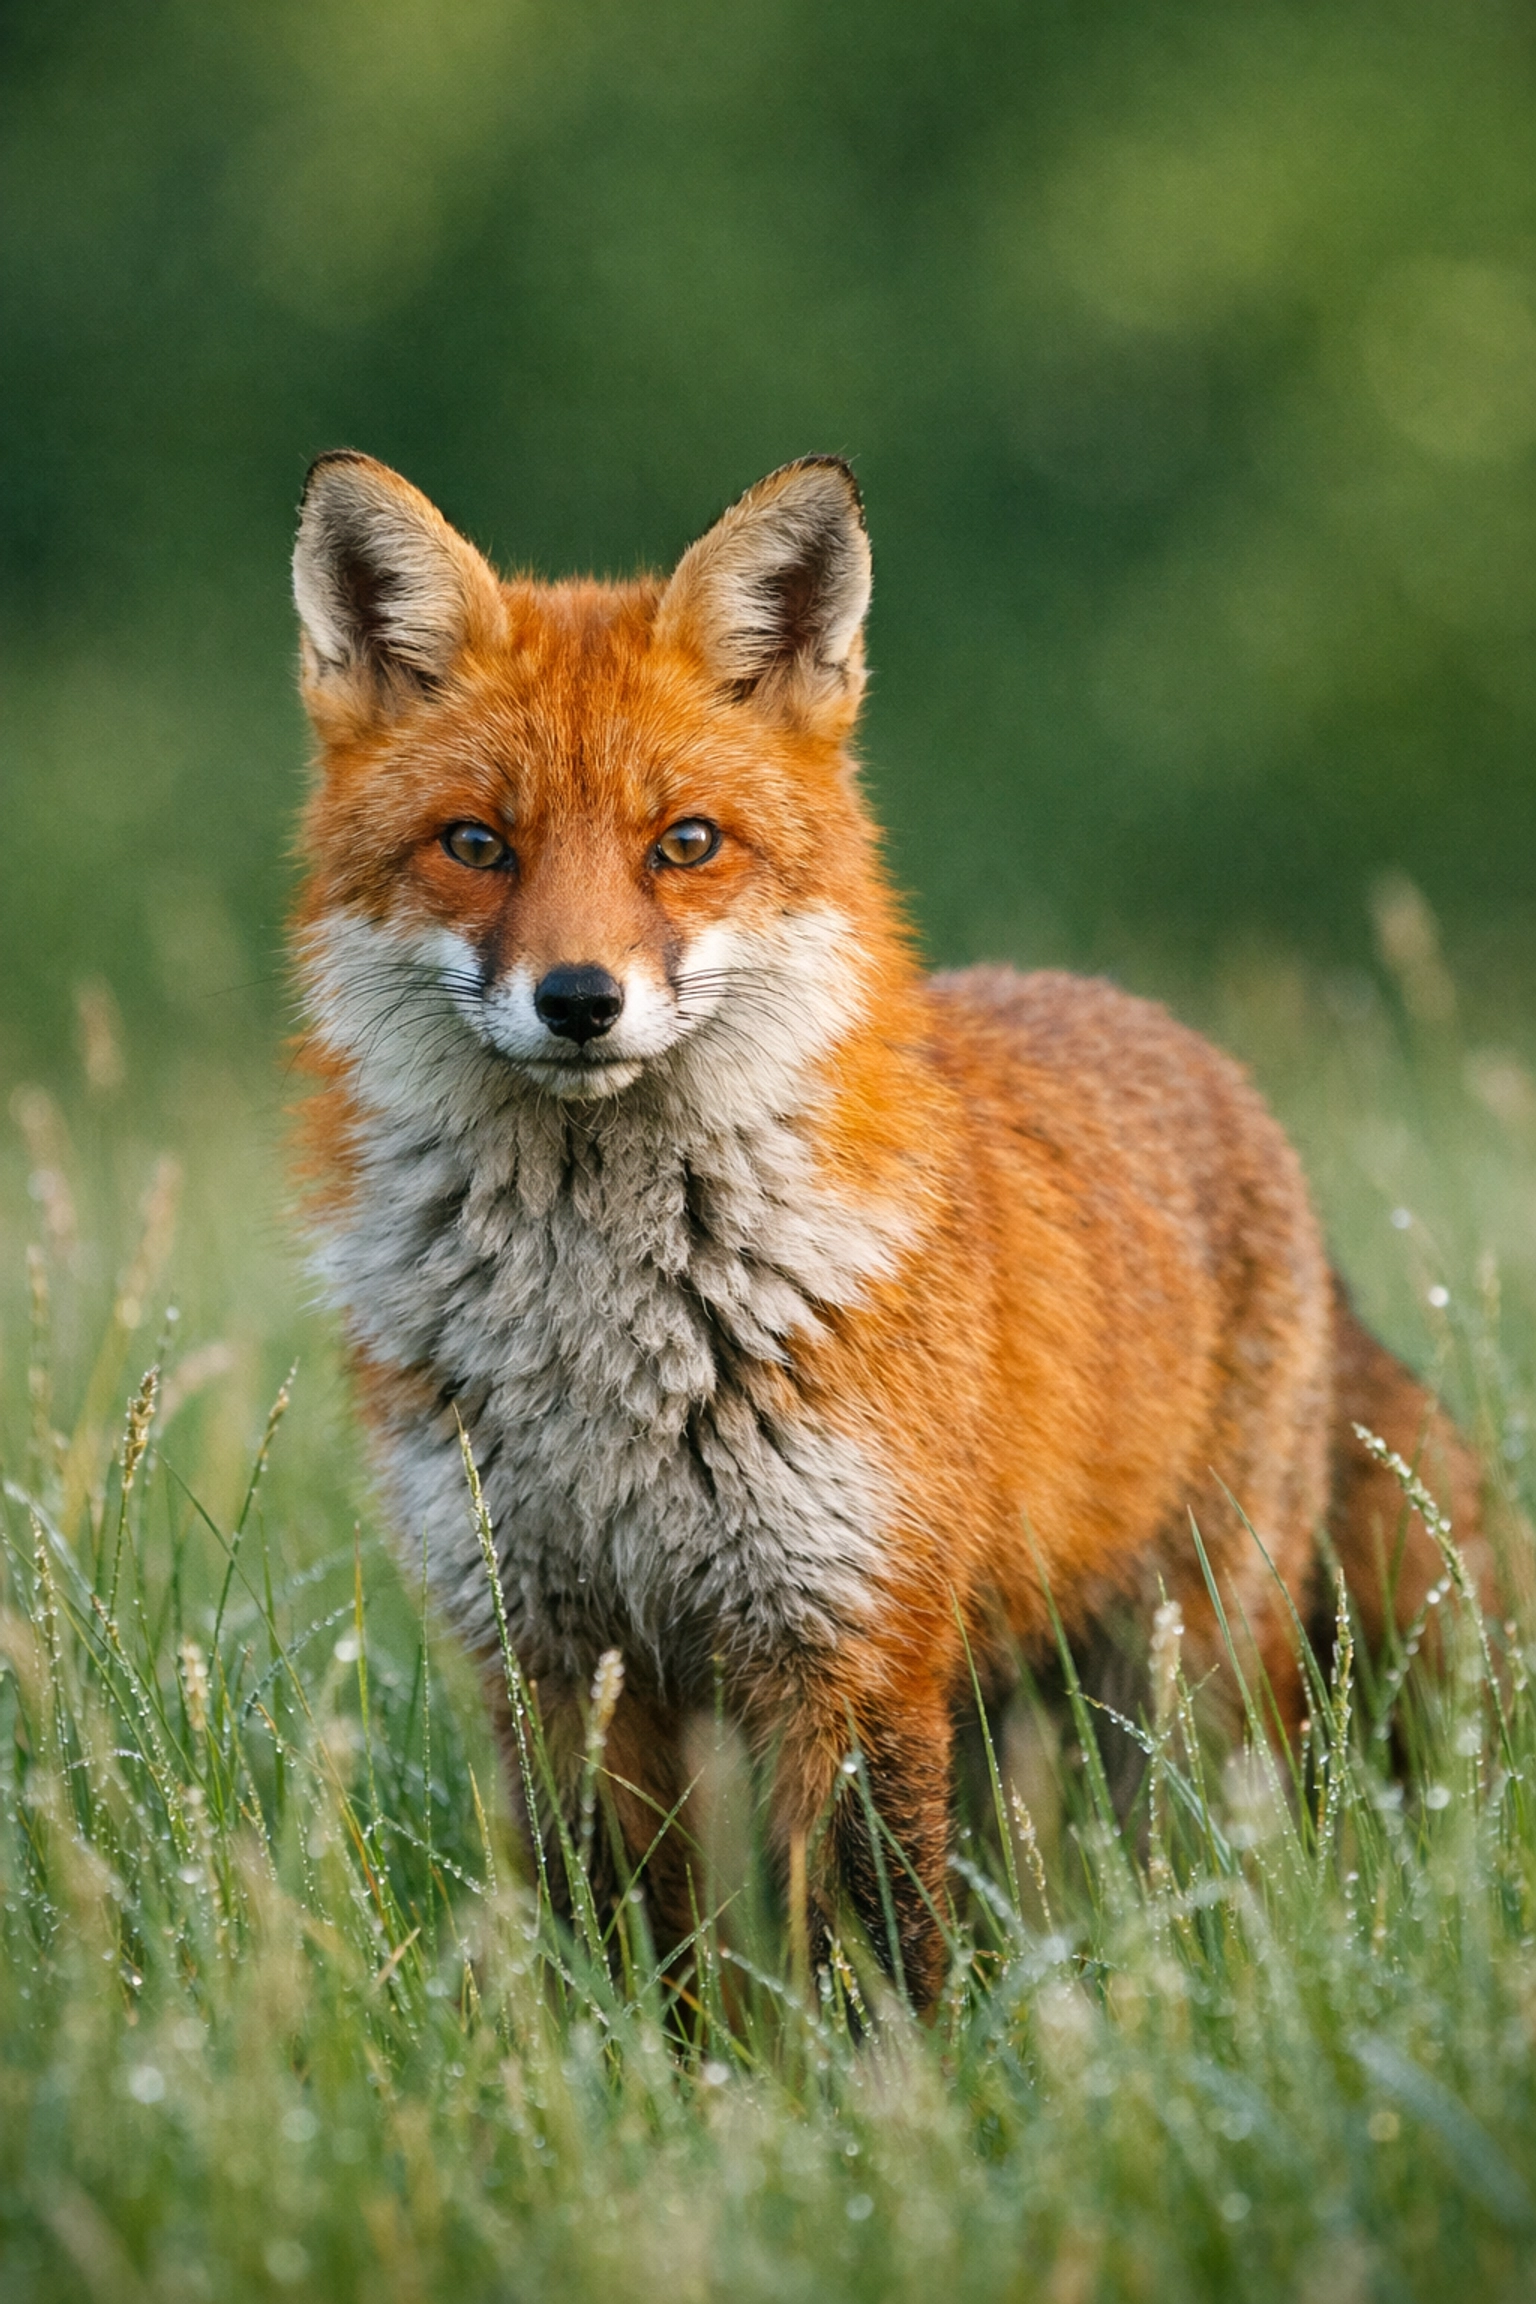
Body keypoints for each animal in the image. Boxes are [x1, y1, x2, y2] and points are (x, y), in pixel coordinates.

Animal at [291, 449, 1488, 2008]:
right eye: (477, 845)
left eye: (686, 844)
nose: (580, 999)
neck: (607, 1347)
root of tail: (1202, 1059)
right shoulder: (552, 1654)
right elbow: (635, 1956)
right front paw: (656, 2064)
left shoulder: (847, 1645)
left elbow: (878, 1958)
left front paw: (894, 2079)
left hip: (1174, 1677)